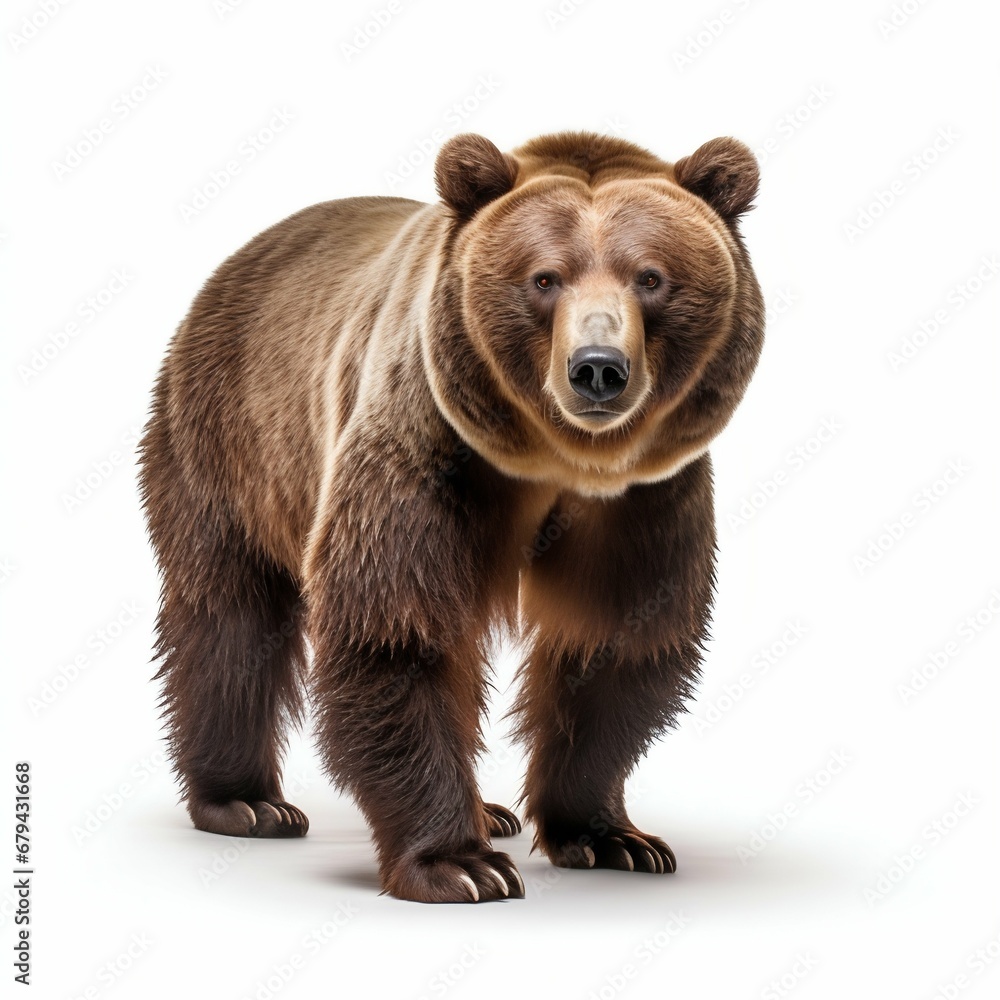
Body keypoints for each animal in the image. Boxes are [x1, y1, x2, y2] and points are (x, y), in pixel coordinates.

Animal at [138, 130, 764, 903]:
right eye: (544, 279)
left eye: (650, 277)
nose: (597, 368)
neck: (558, 462)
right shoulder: (425, 443)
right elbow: (399, 629)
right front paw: (459, 864)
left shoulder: (645, 498)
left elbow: (614, 641)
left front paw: (611, 837)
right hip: (231, 437)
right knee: (231, 615)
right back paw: (247, 802)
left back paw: (491, 811)